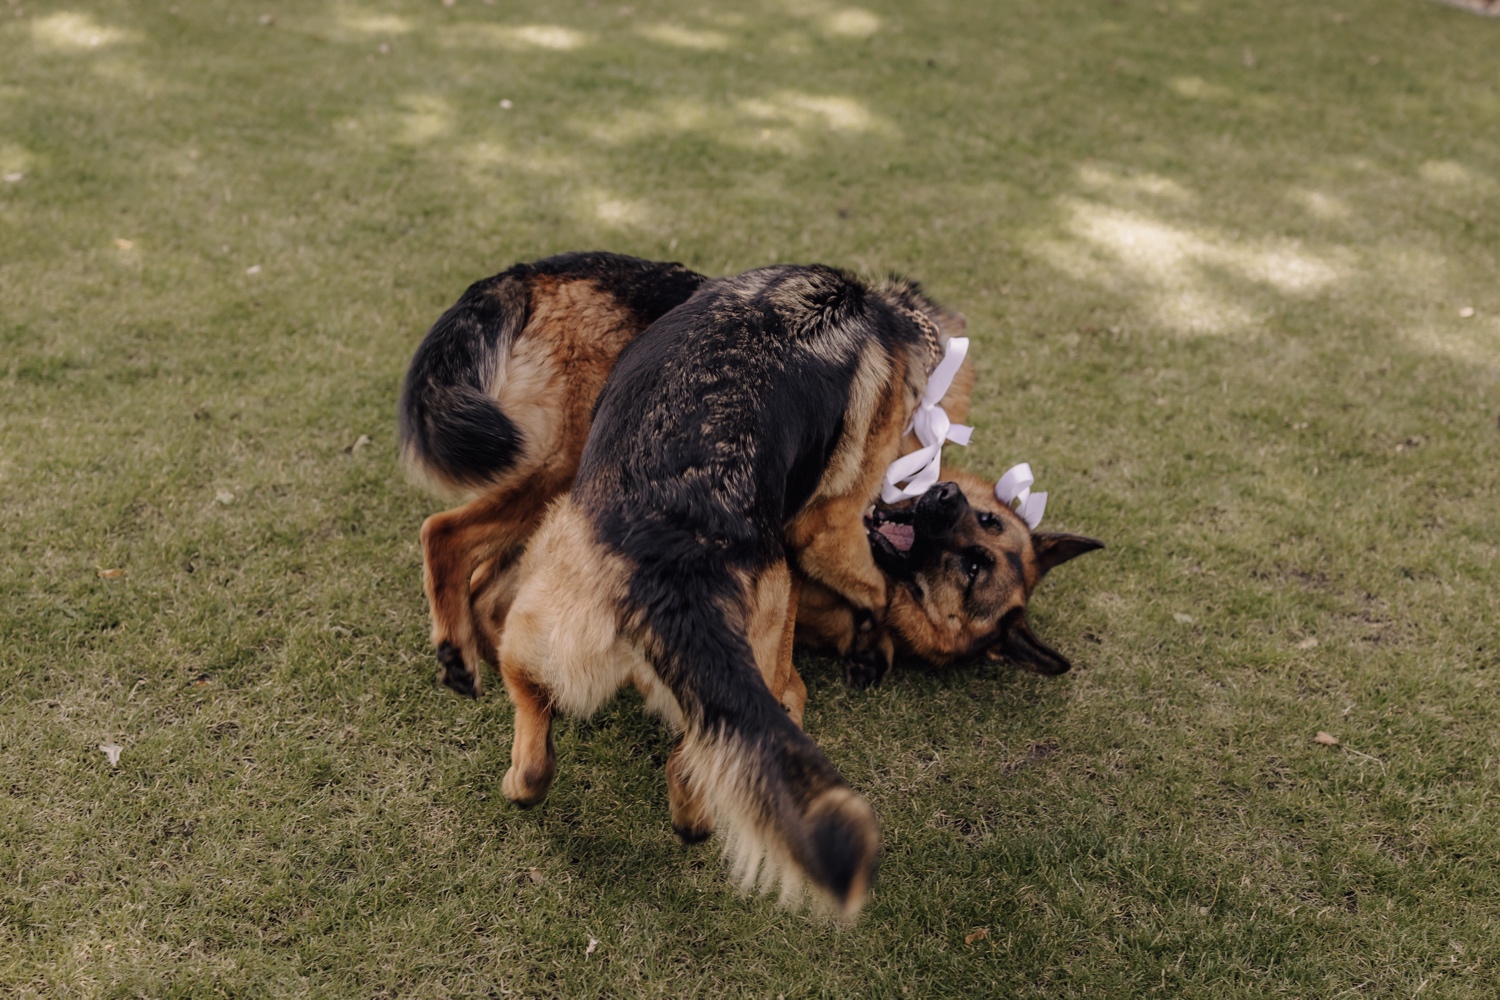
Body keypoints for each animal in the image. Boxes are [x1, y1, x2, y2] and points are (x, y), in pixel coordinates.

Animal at [486, 263, 948, 917]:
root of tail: (672, 570)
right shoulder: (827, 529)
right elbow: (875, 585)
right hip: (759, 601)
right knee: (701, 752)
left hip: (541, 607)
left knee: (543, 736)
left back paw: (532, 780)